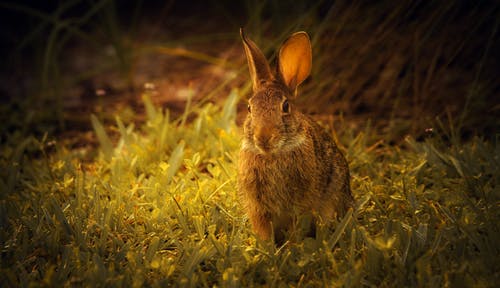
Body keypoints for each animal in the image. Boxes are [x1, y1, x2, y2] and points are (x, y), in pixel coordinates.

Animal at [237, 29, 352, 244]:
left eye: (285, 106)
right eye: (249, 108)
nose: (263, 137)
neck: (273, 155)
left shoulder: (299, 206)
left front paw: (291, 246)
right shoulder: (259, 209)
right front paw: (267, 249)